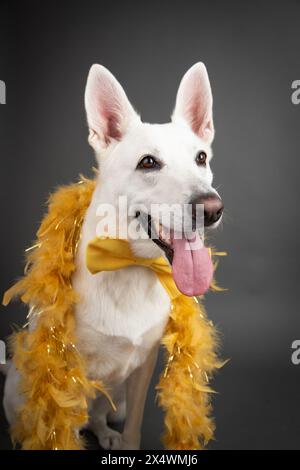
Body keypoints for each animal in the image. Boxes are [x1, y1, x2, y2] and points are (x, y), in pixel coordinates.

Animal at [2, 60, 223, 450]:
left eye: (201, 158)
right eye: (148, 163)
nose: (211, 208)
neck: (129, 265)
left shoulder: (143, 368)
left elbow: (133, 428)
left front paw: (126, 442)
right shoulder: (65, 374)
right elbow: (62, 430)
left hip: (115, 397)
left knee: (100, 417)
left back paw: (106, 434)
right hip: (19, 391)